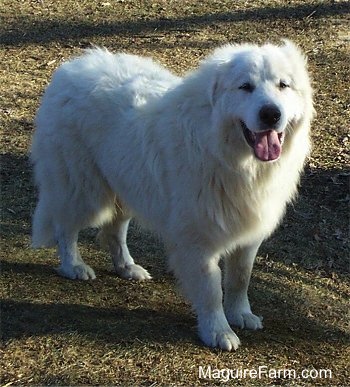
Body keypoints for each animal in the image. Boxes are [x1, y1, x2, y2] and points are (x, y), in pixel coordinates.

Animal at [31, 41, 314, 352]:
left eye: (283, 85)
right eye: (245, 87)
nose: (271, 114)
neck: (226, 155)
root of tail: (71, 67)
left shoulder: (248, 235)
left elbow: (240, 278)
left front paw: (240, 314)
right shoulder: (198, 241)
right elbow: (211, 290)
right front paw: (218, 331)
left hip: (128, 186)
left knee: (113, 232)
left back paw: (127, 267)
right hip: (85, 191)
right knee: (65, 227)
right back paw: (73, 266)